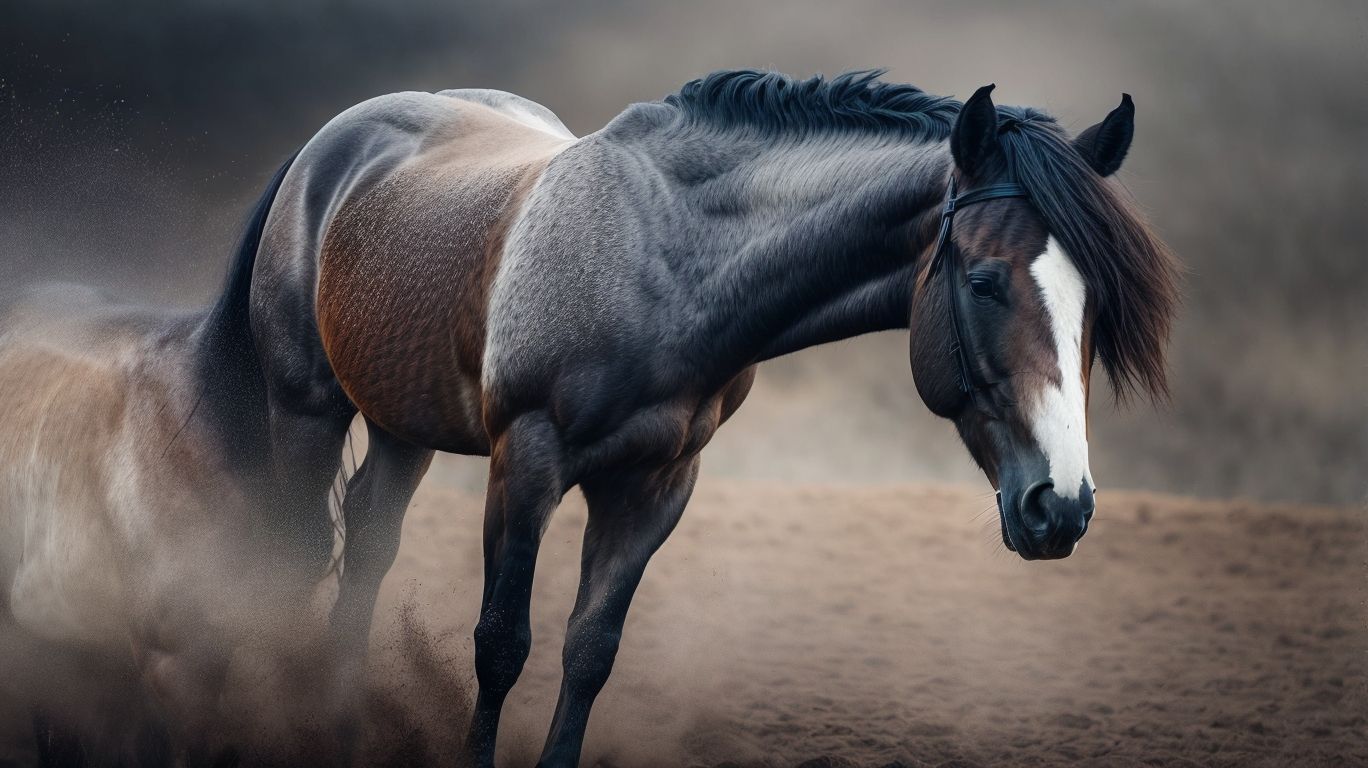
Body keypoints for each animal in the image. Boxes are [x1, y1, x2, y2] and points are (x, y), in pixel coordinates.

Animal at [241, 71, 1178, 766]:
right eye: (984, 283)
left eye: (1096, 307)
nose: (1061, 506)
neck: (667, 266)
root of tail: (334, 145)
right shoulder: (528, 463)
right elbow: (501, 644)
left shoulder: (656, 484)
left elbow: (590, 653)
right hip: (306, 410)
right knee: (294, 558)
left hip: (405, 424)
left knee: (366, 544)